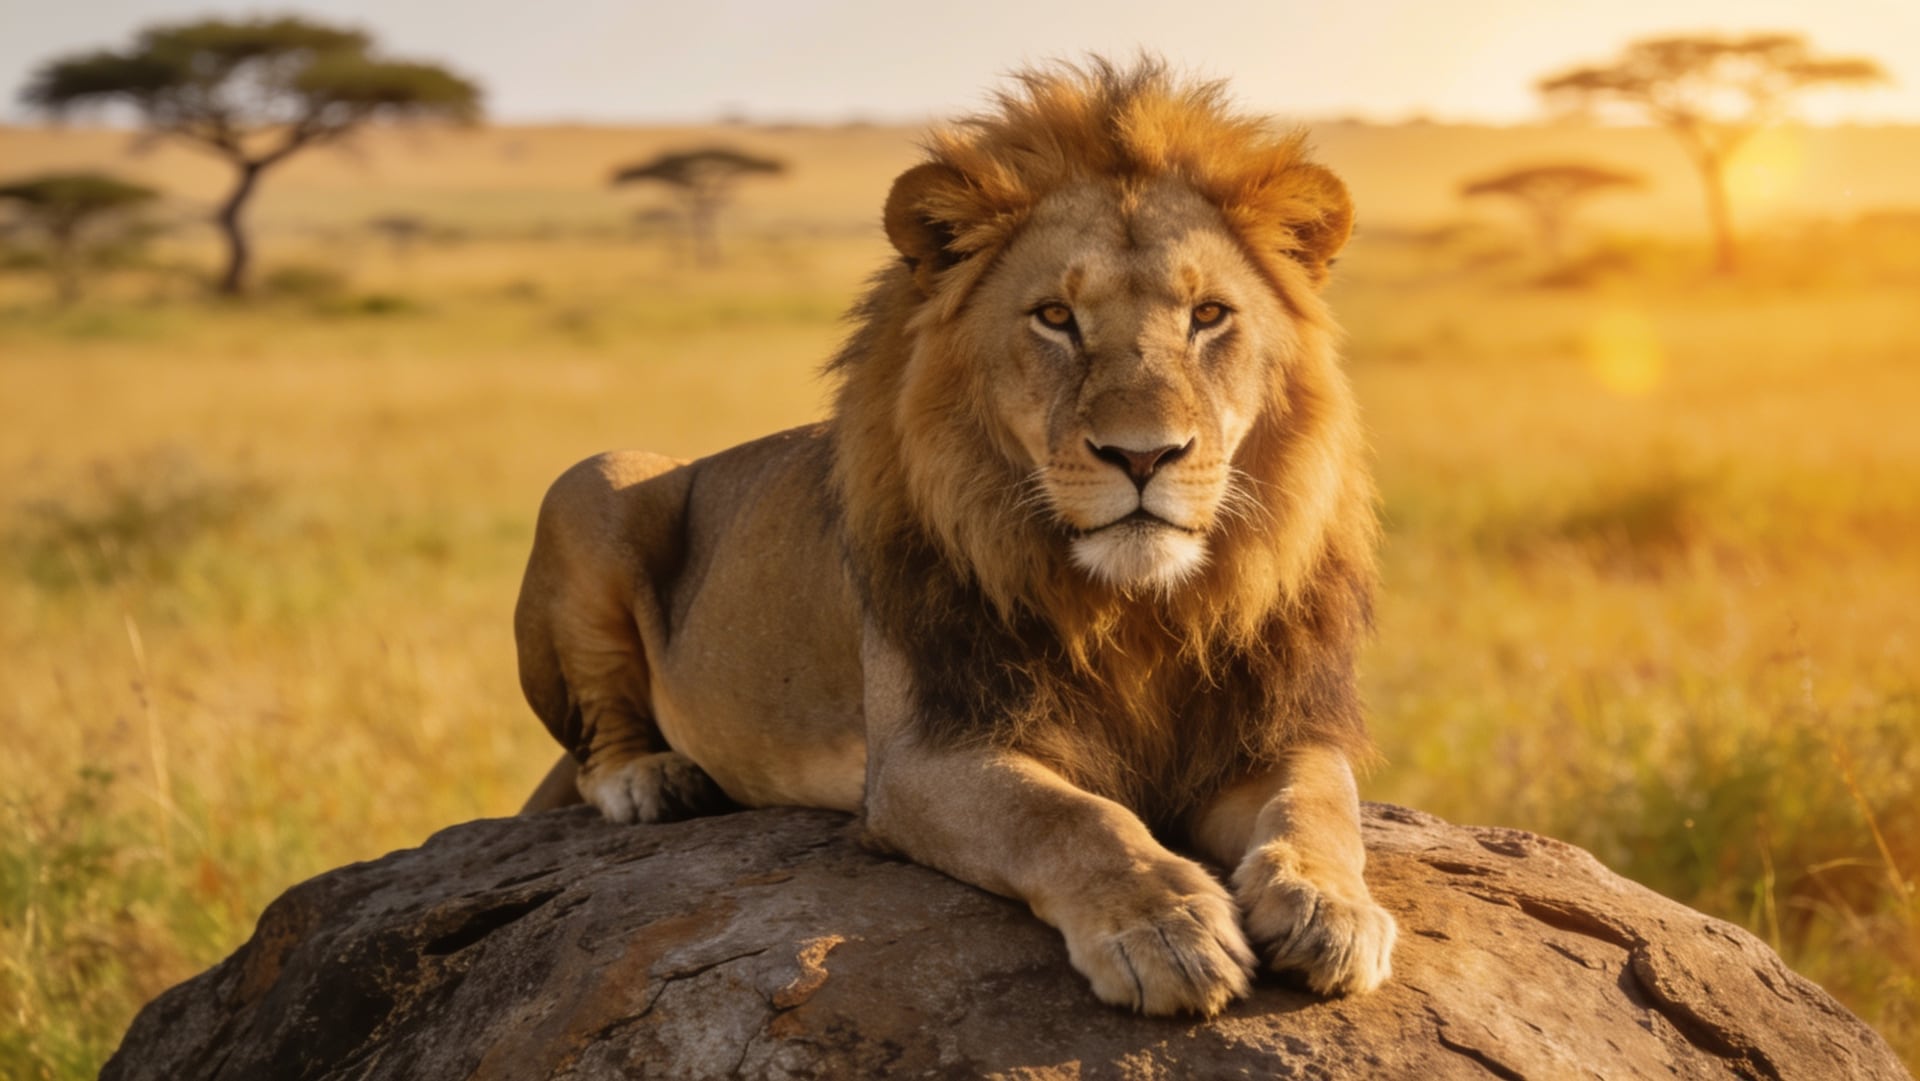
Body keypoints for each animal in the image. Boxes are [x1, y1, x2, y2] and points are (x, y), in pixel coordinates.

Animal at [516, 58, 1396, 1016]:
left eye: (1208, 315)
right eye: (1055, 317)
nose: (1143, 454)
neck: (1132, 608)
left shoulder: (1272, 729)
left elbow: (1321, 803)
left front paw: (1330, 906)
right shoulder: (923, 756)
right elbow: (1071, 816)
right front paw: (1165, 928)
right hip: (595, 478)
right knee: (595, 746)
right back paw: (655, 778)